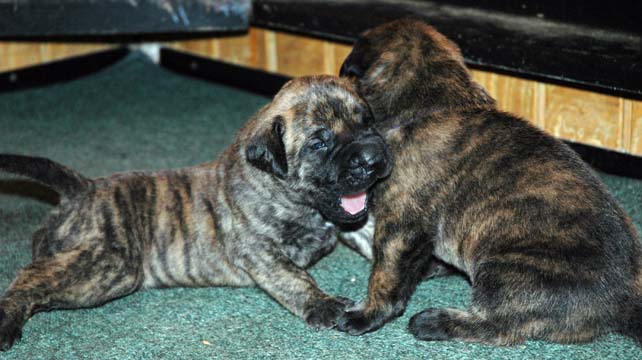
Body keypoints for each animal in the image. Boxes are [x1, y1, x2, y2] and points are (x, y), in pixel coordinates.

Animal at [0, 74, 390, 350]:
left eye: (366, 121)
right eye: (319, 142)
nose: (373, 158)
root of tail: (83, 187)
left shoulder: (347, 221)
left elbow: (372, 234)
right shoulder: (257, 251)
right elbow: (292, 277)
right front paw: (322, 304)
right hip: (110, 266)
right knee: (31, 276)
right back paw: (7, 322)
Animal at [336, 19, 640, 346]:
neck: (431, 105)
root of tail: (625, 300)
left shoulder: (399, 226)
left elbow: (385, 276)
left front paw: (366, 314)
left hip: (505, 270)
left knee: (498, 327)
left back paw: (434, 321)